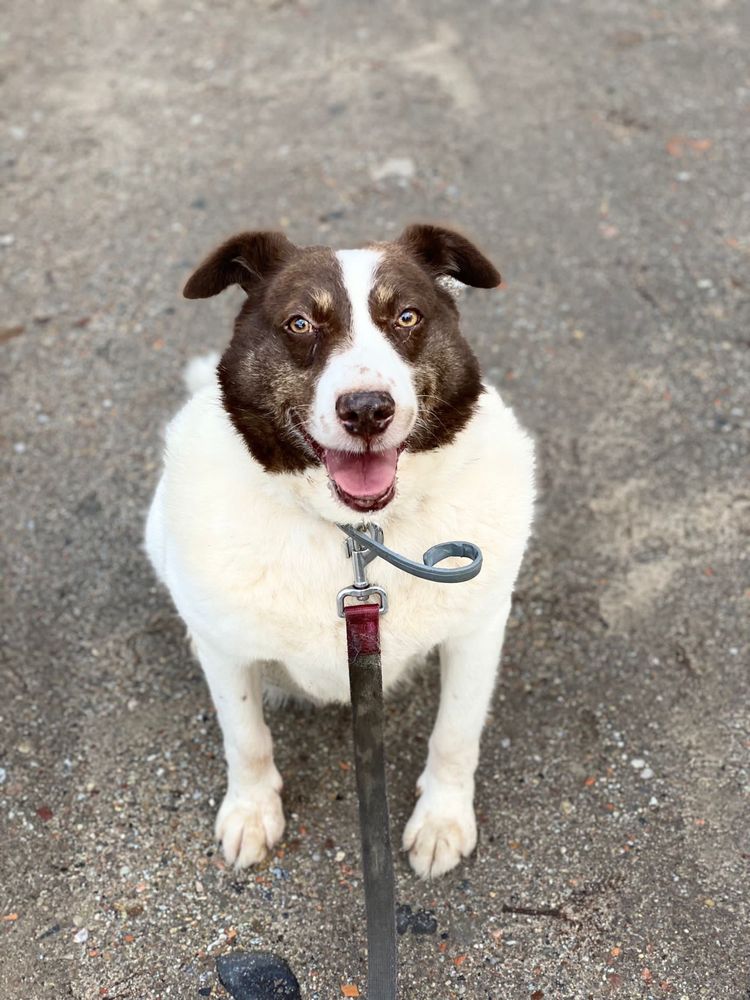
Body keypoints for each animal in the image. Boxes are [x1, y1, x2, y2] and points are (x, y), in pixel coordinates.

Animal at [147, 225, 536, 876]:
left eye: (407, 316)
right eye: (301, 323)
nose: (366, 410)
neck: (354, 532)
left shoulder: (478, 631)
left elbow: (455, 735)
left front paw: (442, 820)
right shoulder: (226, 649)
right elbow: (246, 738)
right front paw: (252, 811)